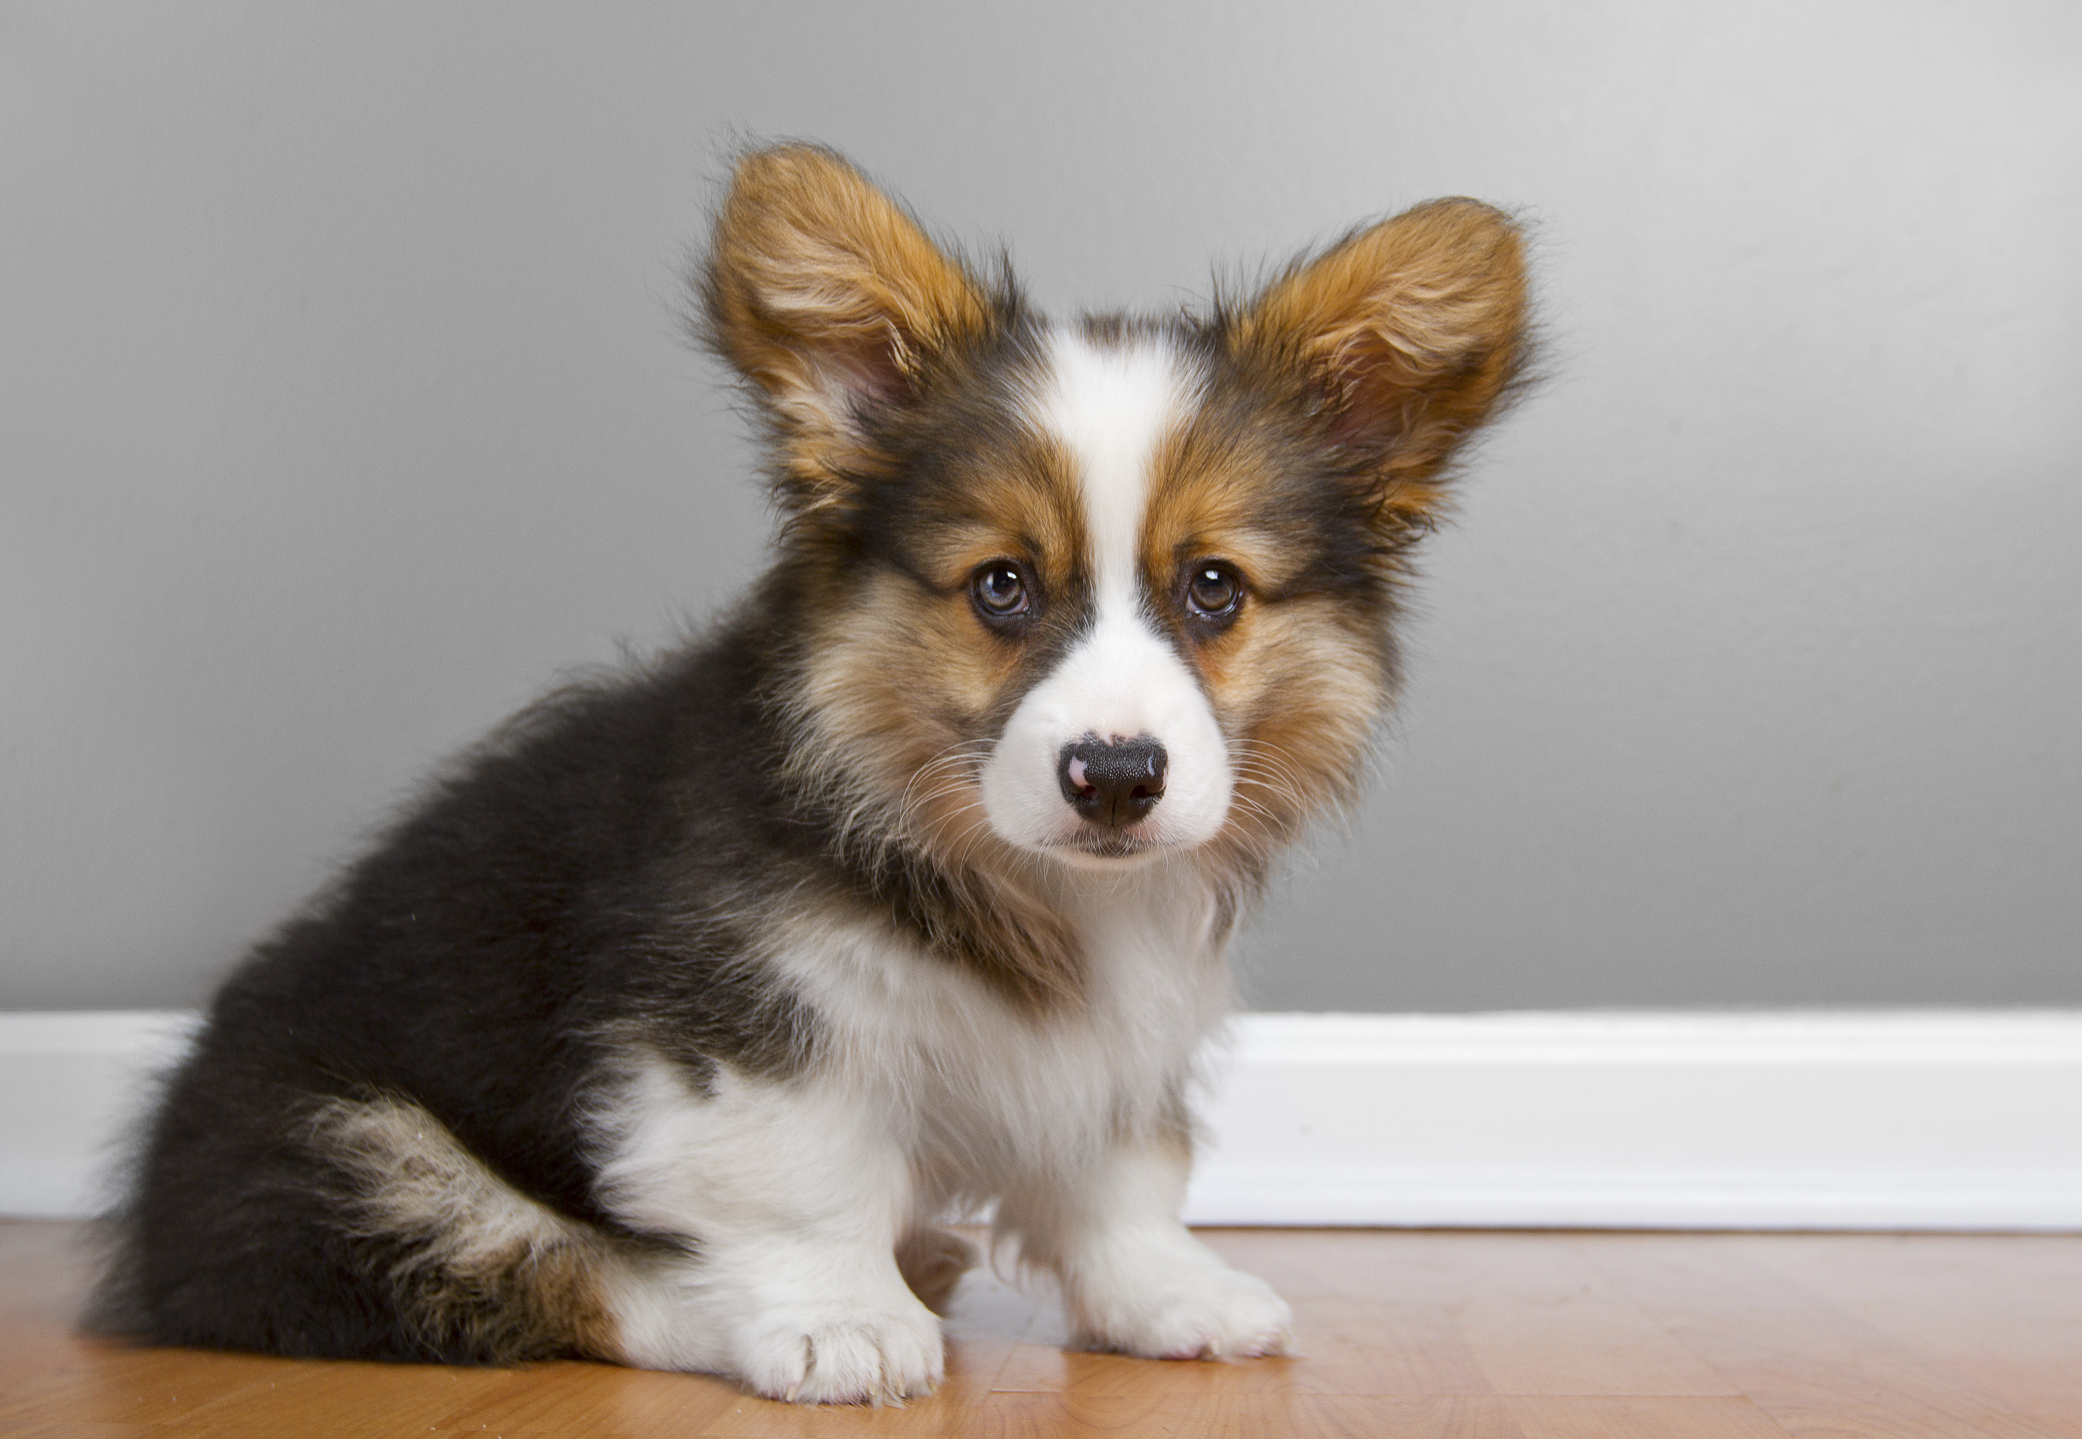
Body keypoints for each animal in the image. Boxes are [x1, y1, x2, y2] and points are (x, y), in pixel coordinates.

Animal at [93, 146, 1532, 1407]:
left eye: (1215, 587)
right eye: (1000, 586)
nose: (1116, 776)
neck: (1025, 877)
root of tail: (152, 1219)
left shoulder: (1121, 1037)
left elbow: (1118, 1173)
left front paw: (1168, 1296)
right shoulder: (744, 1026)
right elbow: (802, 1181)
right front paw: (841, 1320)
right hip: (349, 1158)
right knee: (561, 1274)